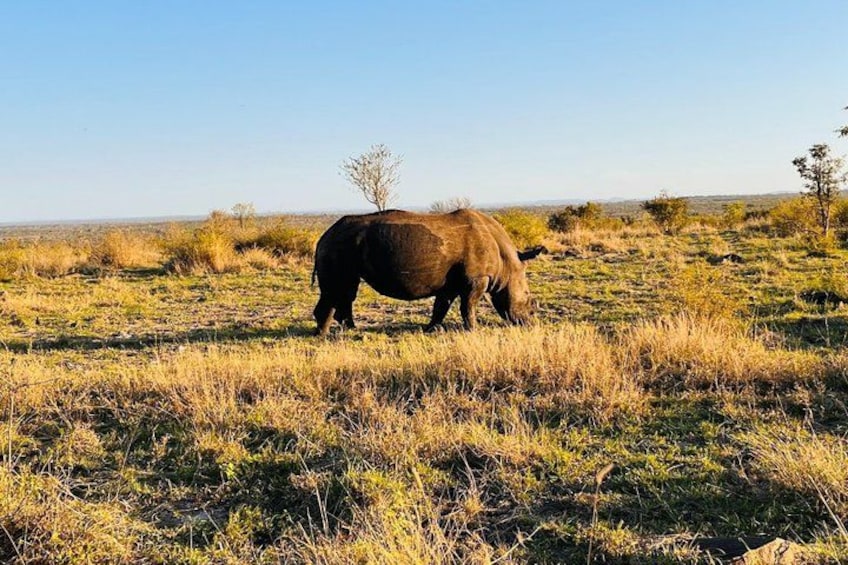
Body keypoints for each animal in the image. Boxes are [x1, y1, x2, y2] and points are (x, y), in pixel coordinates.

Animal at [311, 209, 544, 335]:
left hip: (342, 247)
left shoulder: (451, 282)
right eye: (529, 301)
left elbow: (441, 306)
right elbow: (468, 306)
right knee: (337, 289)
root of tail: (323, 236)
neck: (507, 265)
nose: (530, 324)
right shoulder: (477, 279)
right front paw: (474, 330)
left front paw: (431, 329)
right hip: (337, 247)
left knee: (346, 290)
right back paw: (324, 335)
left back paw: (350, 329)